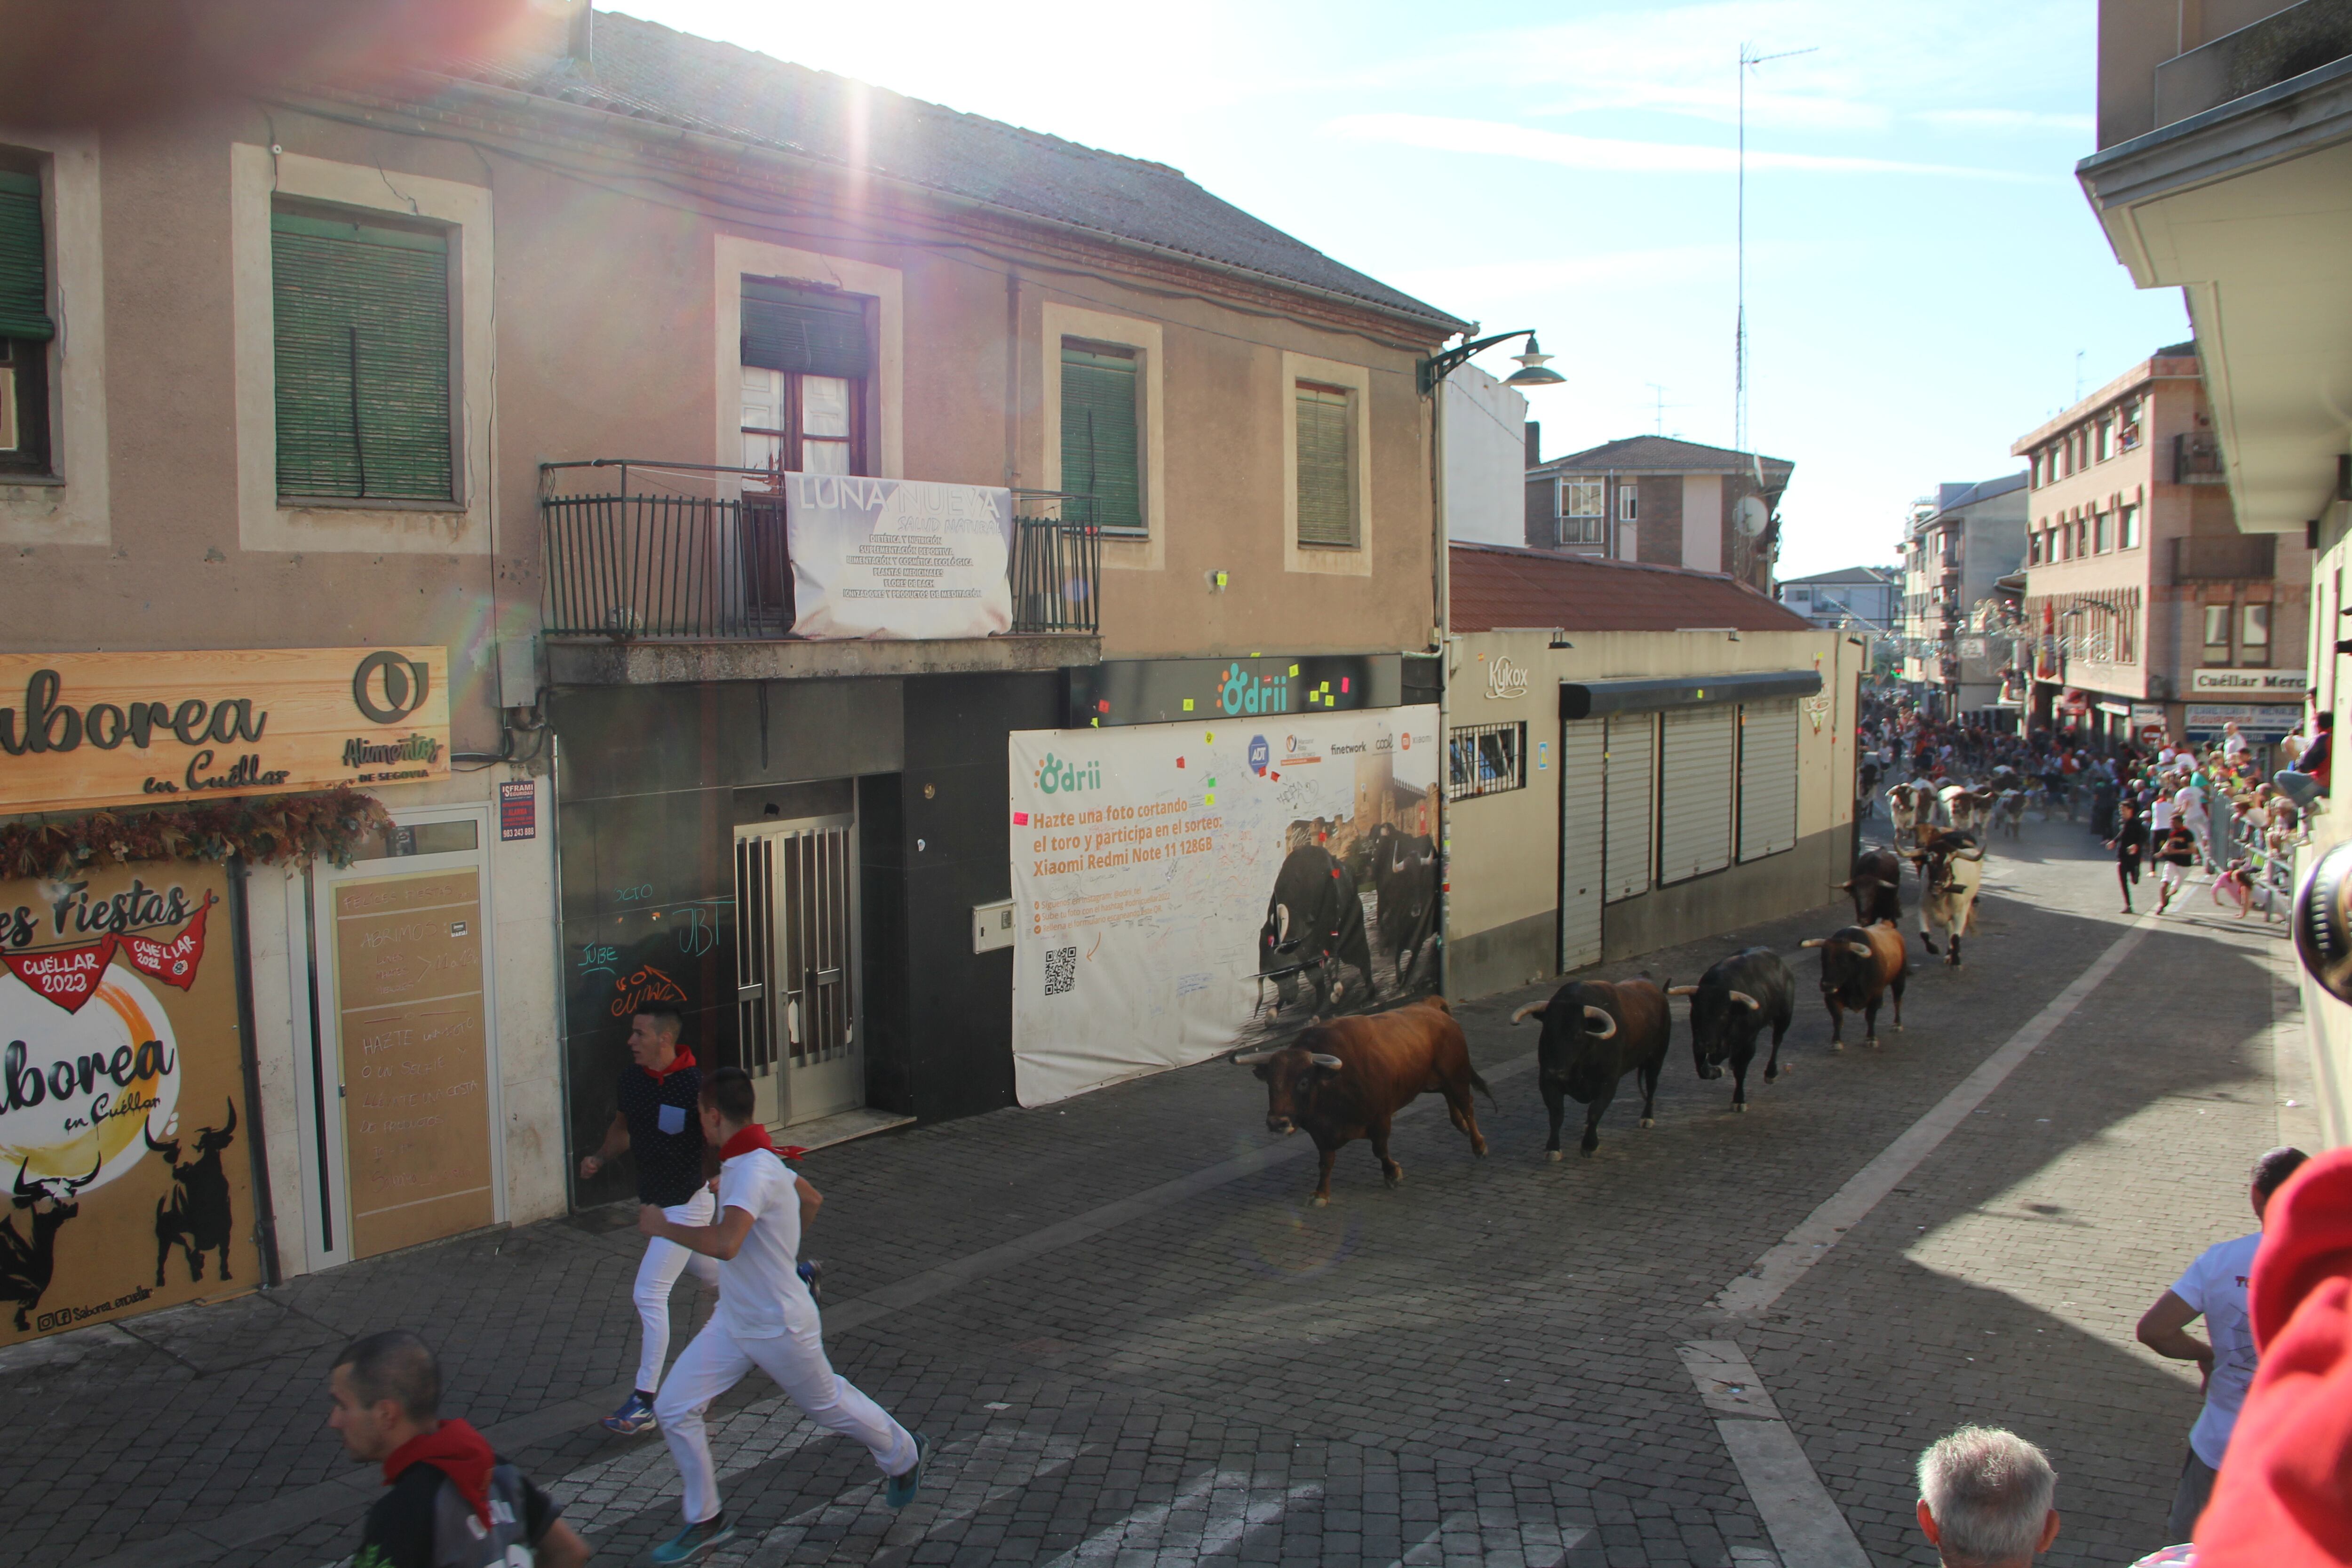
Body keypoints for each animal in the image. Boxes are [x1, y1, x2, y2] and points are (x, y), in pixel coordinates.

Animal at [1232, 1001, 1486, 1213]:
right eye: (1270, 1082)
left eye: (1303, 1082)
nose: (1277, 1123)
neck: (1333, 1086)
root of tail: (1433, 1008)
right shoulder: (1321, 1134)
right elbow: (1325, 1163)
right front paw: (1321, 1194)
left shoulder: (1381, 1120)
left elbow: (1380, 1150)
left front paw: (1393, 1174)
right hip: (1432, 1081)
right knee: (1450, 1099)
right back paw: (1462, 1127)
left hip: (1457, 1076)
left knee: (1467, 1106)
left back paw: (1478, 1144)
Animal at [1251, 846, 1374, 1020]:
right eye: (1274, 979)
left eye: (1288, 972)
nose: (1289, 999)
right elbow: (1319, 980)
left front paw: (1334, 993)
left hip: (1353, 940)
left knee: (1363, 960)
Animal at [1515, 982, 1665, 1152]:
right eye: (1547, 1030)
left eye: (1579, 1034)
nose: (1556, 1072)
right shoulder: (1547, 1081)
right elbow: (1556, 1114)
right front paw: (1553, 1149)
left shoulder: (1609, 1083)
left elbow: (1595, 1111)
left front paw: (1589, 1144)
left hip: (1656, 1060)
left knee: (1651, 1087)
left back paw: (1647, 1118)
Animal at [1797, 926, 1910, 1048]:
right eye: (1823, 960)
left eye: (1844, 962)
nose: (1827, 985)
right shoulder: (1831, 998)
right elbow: (1838, 1019)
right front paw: (1836, 1042)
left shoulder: (1875, 996)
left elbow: (1870, 1016)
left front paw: (1871, 1039)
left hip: (1899, 981)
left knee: (1897, 1001)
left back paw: (1897, 1024)